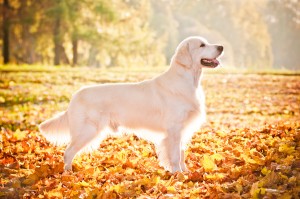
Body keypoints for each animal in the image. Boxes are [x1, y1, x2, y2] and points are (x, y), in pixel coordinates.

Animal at [39, 36, 223, 173]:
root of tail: (75, 96)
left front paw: (185, 173)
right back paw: (68, 174)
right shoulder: (174, 129)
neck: (187, 80)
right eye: (202, 45)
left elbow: (182, 153)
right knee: (68, 152)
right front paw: (177, 174)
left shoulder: (182, 129)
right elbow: (175, 155)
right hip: (87, 130)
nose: (221, 46)